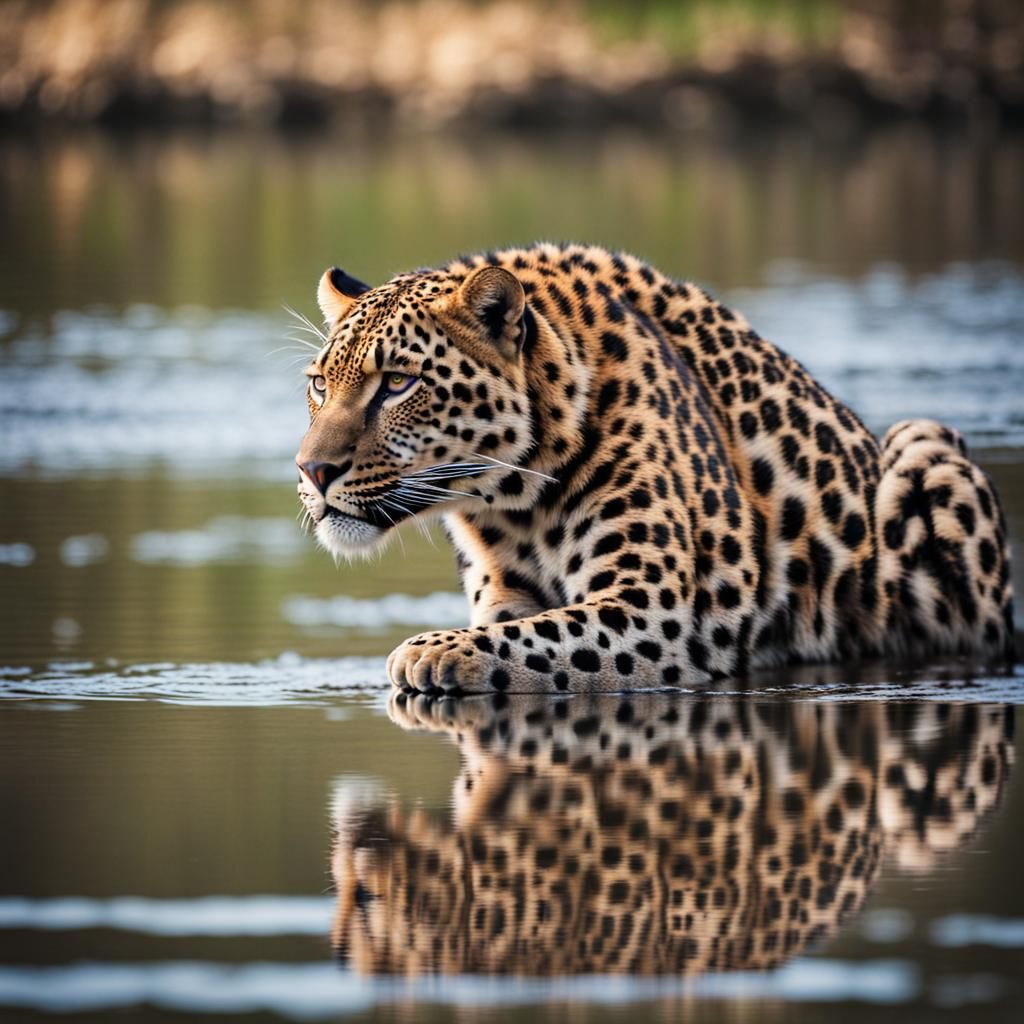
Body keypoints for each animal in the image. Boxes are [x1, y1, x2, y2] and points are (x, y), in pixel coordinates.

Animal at [295, 243, 1015, 693]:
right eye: (320, 386)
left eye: (397, 382)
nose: (312, 472)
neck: (510, 499)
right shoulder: (507, 594)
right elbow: (522, 630)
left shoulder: (657, 613)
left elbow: (542, 638)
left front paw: (433, 650)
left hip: (925, 449)